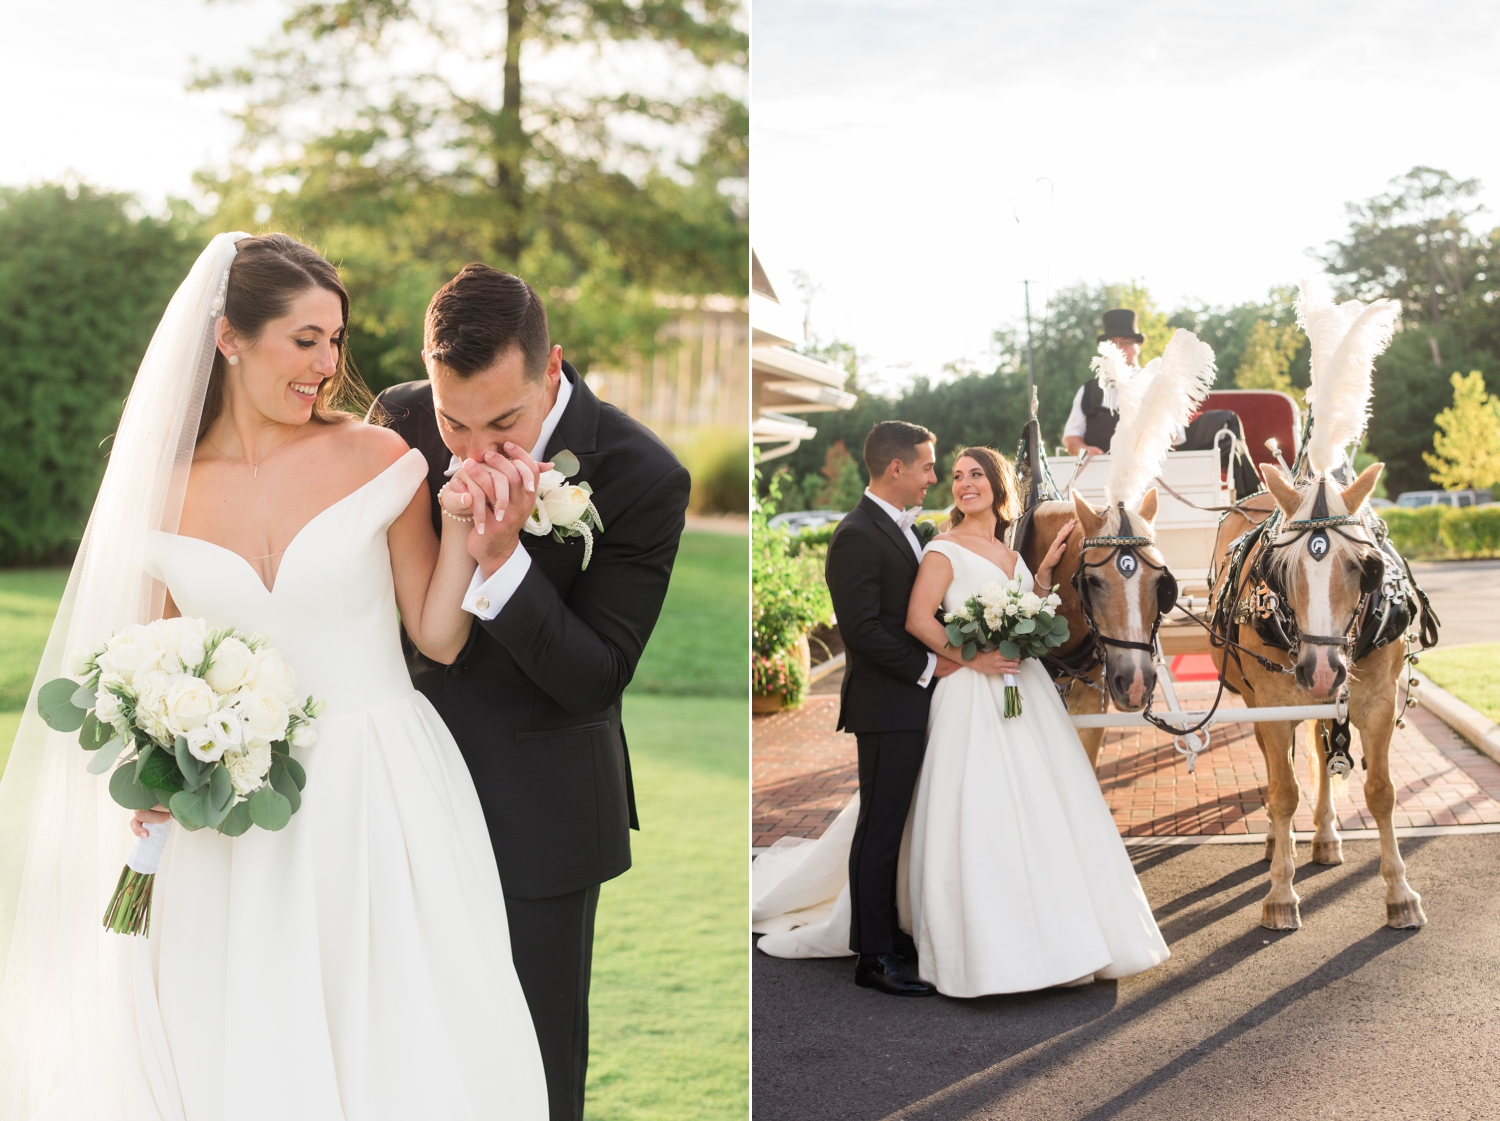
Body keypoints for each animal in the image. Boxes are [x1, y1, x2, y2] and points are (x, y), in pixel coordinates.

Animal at [1206, 459, 1428, 936]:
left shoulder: (1378, 704)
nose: (1322, 670)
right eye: (1281, 569)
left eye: (1364, 567)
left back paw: (1325, 836)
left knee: (1322, 750)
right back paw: (1279, 840)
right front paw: (1280, 896)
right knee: (1277, 768)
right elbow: (1283, 793)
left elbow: (1381, 792)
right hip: (1259, 701)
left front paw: (1400, 895)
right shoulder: (1273, 707)